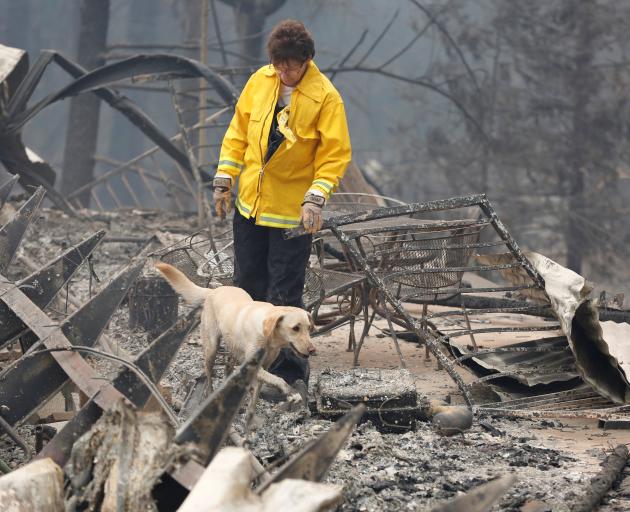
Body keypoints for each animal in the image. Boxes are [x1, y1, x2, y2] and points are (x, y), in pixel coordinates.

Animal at [156, 264, 314, 404]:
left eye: (309, 328)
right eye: (295, 328)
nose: (312, 350)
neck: (267, 334)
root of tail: (213, 290)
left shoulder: (265, 366)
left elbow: (259, 391)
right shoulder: (254, 366)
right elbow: (278, 379)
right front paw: (292, 392)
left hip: (232, 346)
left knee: (228, 367)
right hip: (211, 347)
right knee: (208, 374)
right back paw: (209, 392)